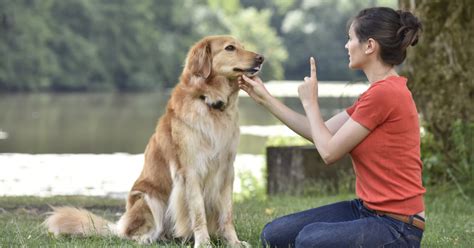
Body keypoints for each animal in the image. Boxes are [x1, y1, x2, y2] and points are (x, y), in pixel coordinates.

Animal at [43, 35, 264, 248]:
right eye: (230, 48)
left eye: (242, 46)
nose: (261, 57)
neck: (210, 103)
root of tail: (118, 226)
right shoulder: (191, 171)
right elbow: (198, 212)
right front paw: (203, 242)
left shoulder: (226, 171)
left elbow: (227, 214)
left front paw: (234, 242)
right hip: (148, 199)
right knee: (131, 234)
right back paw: (148, 239)